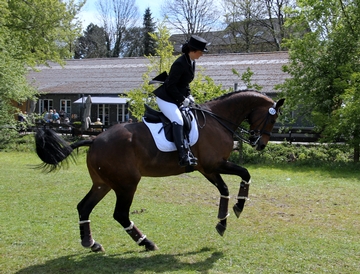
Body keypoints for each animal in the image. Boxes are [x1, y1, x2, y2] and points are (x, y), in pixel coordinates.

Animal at [35, 90, 286, 253]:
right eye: (272, 117)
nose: (260, 144)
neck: (218, 120)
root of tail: (95, 140)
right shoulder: (214, 165)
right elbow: (245, 174)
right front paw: (238, 208)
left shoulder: (207, 168)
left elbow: (224, 188)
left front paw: (223, 221)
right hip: (126, 184)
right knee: (120, 214)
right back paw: (146, 242)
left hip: (103, 184)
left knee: (84, 207)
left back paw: (91, 243)